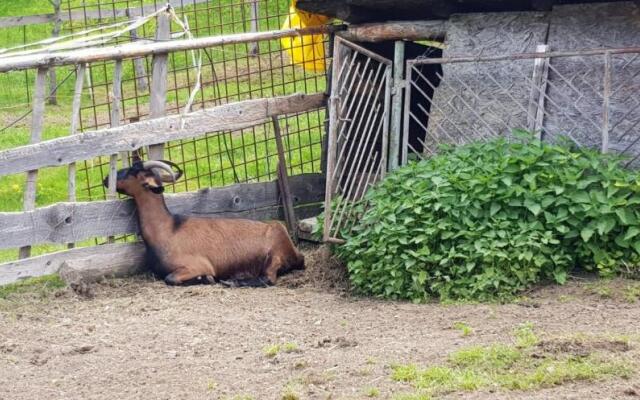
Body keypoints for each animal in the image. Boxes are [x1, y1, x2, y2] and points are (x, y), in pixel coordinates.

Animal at [103, 159, 304, 288]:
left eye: (133, 171)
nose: (106, 180)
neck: (168, 228)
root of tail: (297, 254)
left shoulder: (196, 265)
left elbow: (170, 278)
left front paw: (206, 279)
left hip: (274, 255)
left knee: (268, 279)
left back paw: (233, 281)